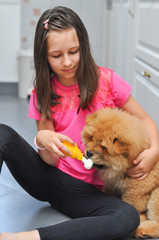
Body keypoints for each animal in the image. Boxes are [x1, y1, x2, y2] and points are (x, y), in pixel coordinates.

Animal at [81, 108, 159, 239]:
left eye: (103, 147)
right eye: (91, 138)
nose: (88, 152)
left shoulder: (136, 193)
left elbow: (131, 206)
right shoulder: (112, 186)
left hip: (156, 194)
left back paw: (142, 230)